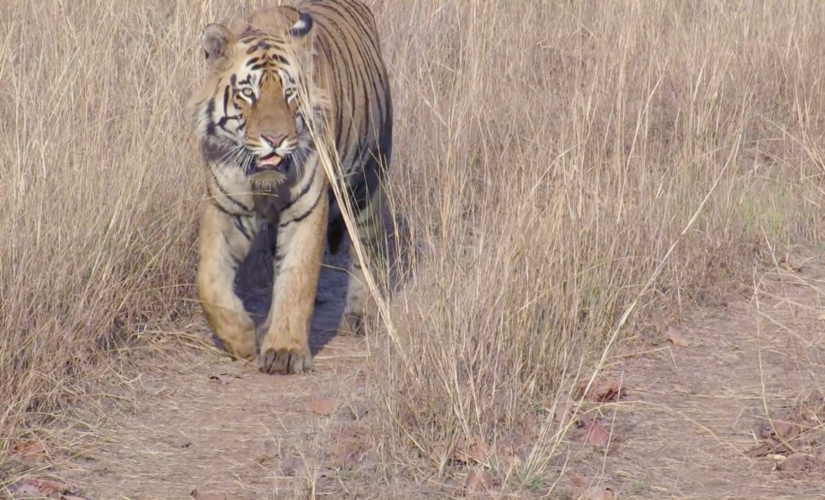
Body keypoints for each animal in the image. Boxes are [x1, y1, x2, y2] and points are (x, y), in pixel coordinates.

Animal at [187, 0, 392, 375]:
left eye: (289, 93)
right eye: (248, 93)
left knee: (367, 247)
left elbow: (297, 277)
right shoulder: (226, 207)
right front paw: (241, 338)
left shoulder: (307, 207)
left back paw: (360, 315)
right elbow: (208, 280)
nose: (275, 139)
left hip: (369, 177)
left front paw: (284, 352)